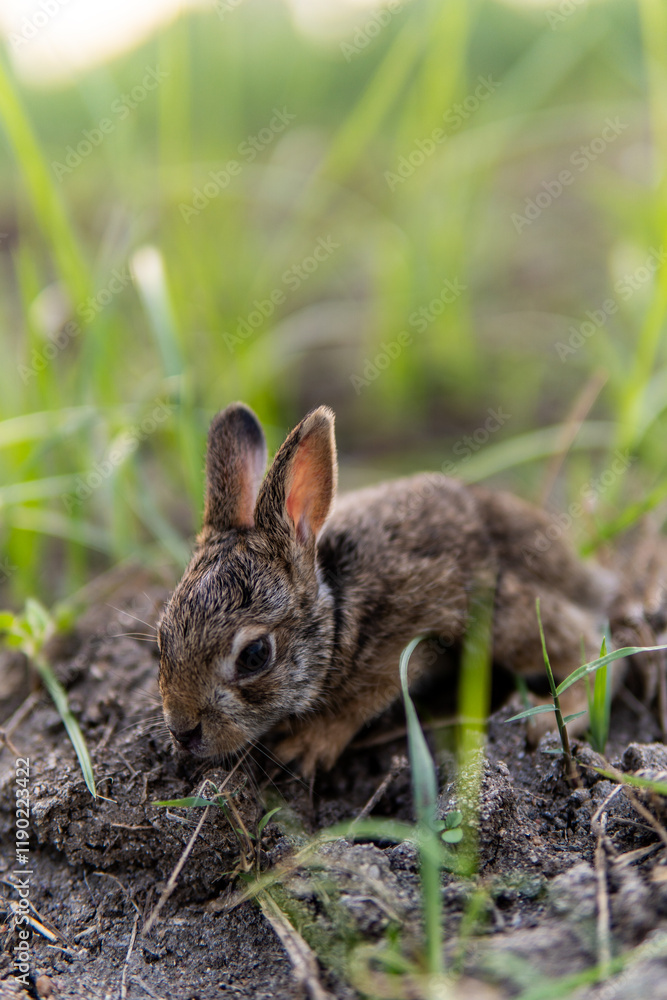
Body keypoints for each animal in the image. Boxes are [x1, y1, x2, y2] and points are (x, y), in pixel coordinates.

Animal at [157, 402, 638, 777]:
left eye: (254, 656)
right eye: (162, 638)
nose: (183, 732)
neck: (339, 617)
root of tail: (585, 577)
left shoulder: (416, 627)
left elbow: (364, 700)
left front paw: (306, 745)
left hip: (504, 616)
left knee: (593, 648)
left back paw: (550, 720)